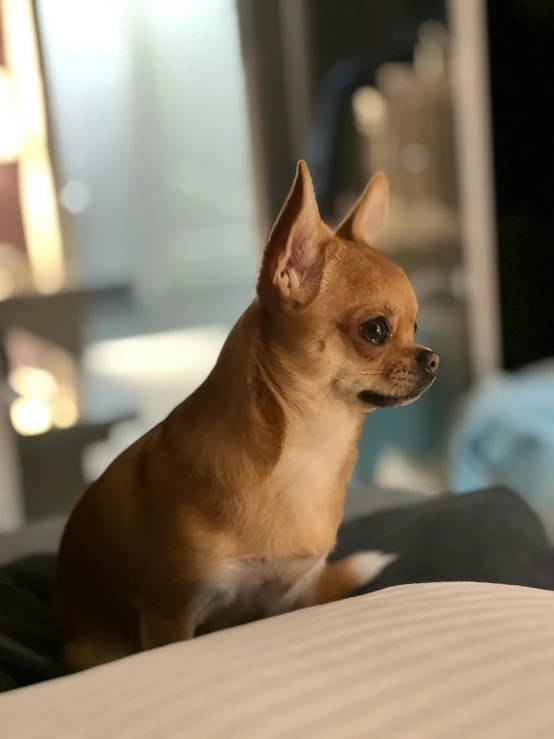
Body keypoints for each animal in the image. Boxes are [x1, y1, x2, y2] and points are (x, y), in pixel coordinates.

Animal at [55, 162, 436, 672]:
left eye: (416, 327)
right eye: (375, 331)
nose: (433, 358)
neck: (310, 453)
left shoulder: (288, 597)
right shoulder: (169, 616)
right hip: (95, 648)